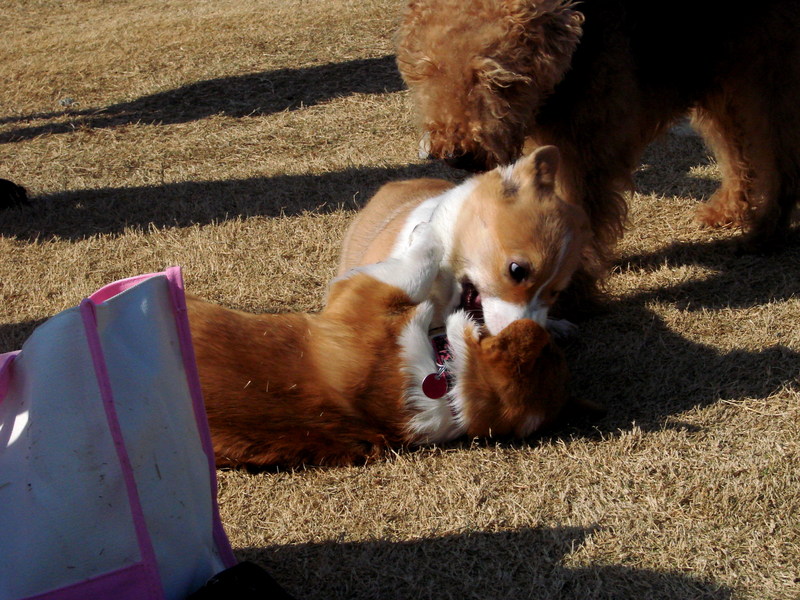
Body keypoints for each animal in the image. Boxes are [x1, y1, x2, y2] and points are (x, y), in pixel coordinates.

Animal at [398, 0, 800, 300]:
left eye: (496, 78)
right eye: (430, 69)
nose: (455, 155)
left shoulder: (585, 154)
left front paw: (571, 293)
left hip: (766, 78)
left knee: (778, 160)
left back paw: (766, 232)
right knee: (738, 152)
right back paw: (728, 210)